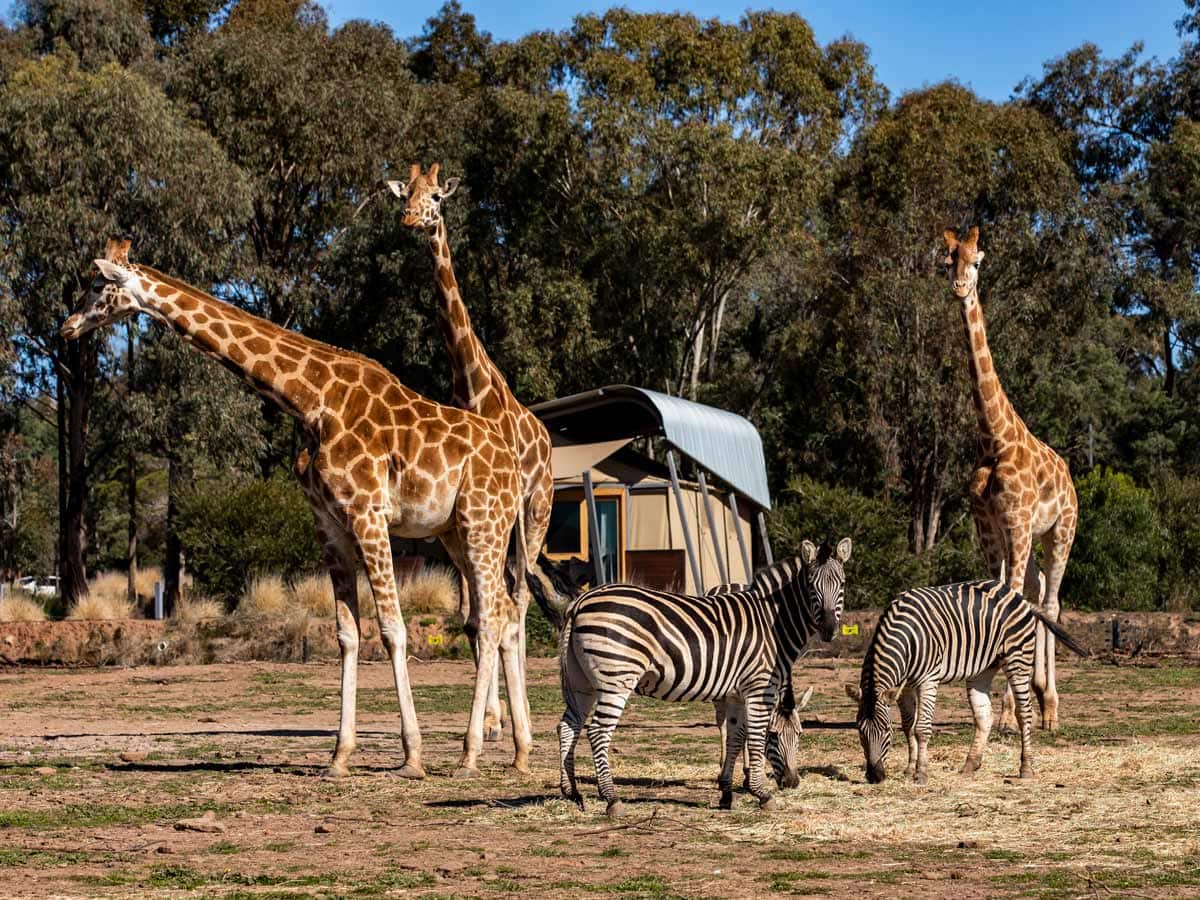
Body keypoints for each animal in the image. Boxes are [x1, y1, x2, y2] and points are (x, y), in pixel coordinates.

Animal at [63, 236, 532, 777]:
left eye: (98, 285)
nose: (67, 326)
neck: (309, 401)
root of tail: (513, 463)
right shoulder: (329, 523)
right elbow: (347, 634)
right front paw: (339, 757)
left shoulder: (369, 514)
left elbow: (392, 629)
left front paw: (412, 755)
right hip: (456, 530)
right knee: (501, 611)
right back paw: (520, 750)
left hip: (483, 521)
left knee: (493, 615)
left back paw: (472, 752)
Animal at [388, 164, 556, 748]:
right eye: (407, 193)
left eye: (437, 197)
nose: (410, 219)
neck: (472, 385)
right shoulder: (452, 525)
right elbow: (471, 614)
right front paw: (489, 720)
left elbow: (498, 608)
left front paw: (495, 721)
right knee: (498, 602)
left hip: (535, 512)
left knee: (520, 597)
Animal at [554, 540, 849, 820]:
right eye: (811, 586)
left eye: (799, 734)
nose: (791, 782)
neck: (773, 623)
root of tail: (581, 601)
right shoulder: (759, 687)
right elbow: (753, 737)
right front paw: (762, 794)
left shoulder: (735, 693)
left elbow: (735, 737)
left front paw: (727, 793)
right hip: (617, 679)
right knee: (597, 731)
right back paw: (611, 799)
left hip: (583, 682)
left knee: (568, 726)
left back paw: (572, 792)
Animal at [844, 580, 1089, 787]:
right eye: (859, 730)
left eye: (886, 730)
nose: (874, 776)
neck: (906, 636)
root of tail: (1021, 598)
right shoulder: (904, 686)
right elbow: (908, 726)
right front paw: (910, 768)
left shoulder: (927, 679)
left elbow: (921, 728)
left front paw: (921, 774)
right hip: (983, 669)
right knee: (984, 715)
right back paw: (970, 765)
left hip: (1018, 658)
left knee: (1025, 713)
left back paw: (1026, 768)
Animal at [940, 225, 1084, 734]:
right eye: (946, 259)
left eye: (978, 259)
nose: (960, 287)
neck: (994, 439)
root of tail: (1070, 477)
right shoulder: (989, 527)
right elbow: (998, 597)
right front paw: (991, 705)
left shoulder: (1017, 523)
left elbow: (1015, 598)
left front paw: (1006, 712)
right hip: (1028, 537)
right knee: (1040, 593)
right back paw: (1040, 697)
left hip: (1061, 531)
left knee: (1053, 599)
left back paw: (1052, 708)